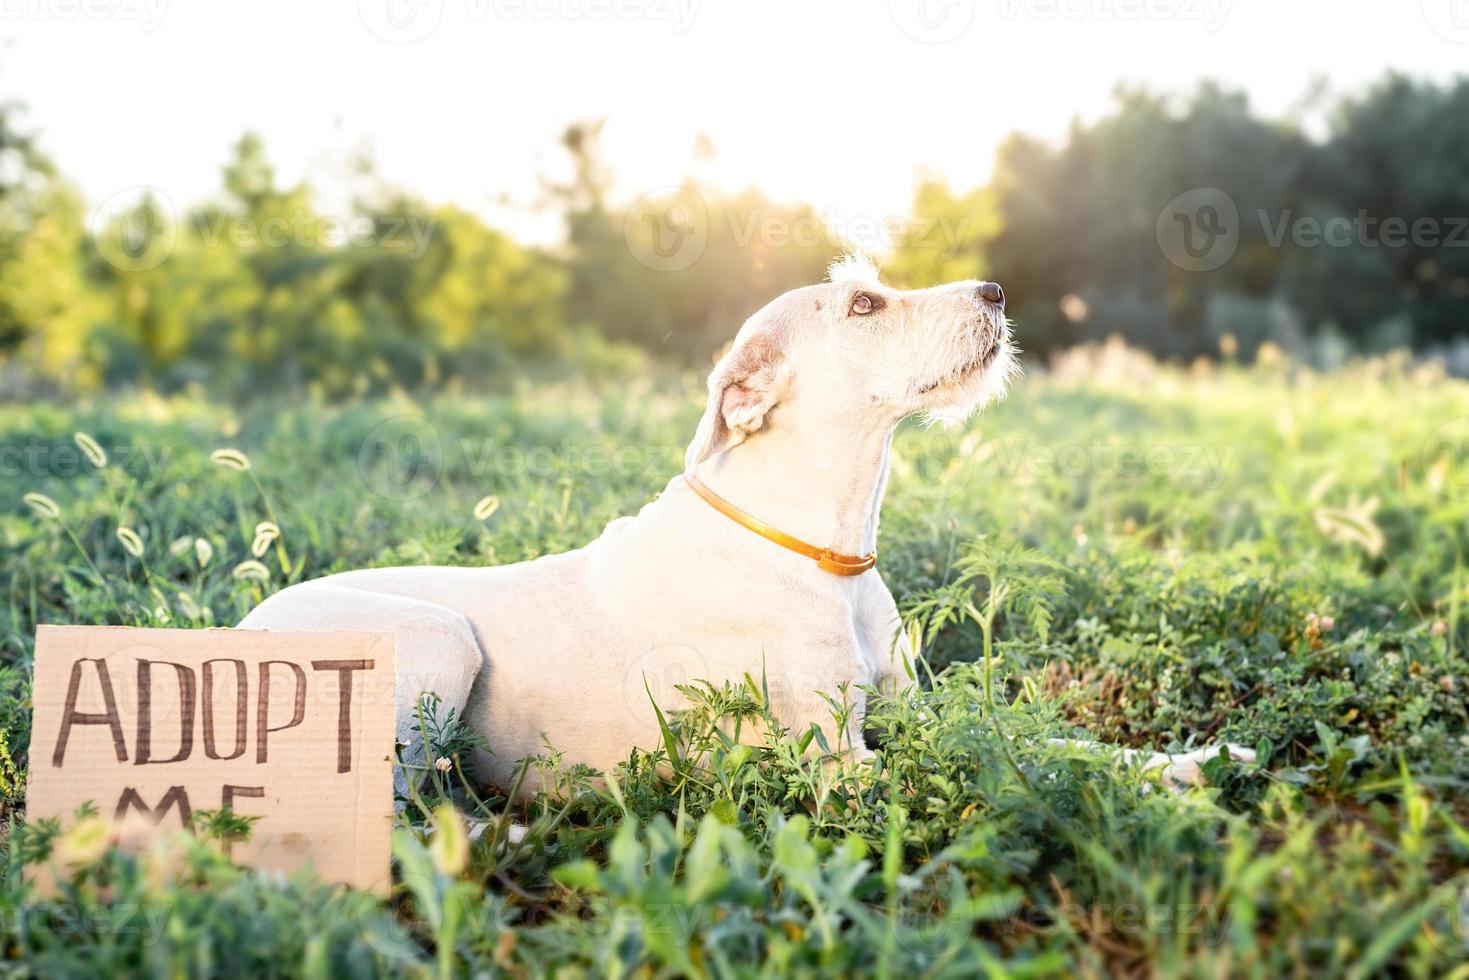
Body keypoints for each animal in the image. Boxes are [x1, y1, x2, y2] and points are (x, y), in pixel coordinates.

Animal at [240, 257, 1251, 799]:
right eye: (863, 304)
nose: (996, 291)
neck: (823, 549)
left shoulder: (912, 711)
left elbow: (1053, 743)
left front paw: (1200, 756)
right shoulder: (843, 766)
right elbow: (1009, 770)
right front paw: (1176, 791)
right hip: (440, 641)